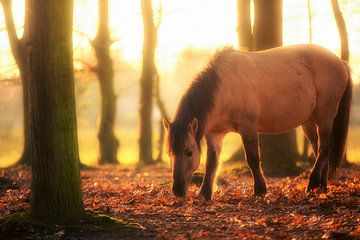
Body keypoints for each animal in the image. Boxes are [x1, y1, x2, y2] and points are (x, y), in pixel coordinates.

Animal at [164, 44, 354, 200]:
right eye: (170, 153)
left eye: (188, 152)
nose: (177, 191)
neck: (225, 87)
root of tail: (339, 61)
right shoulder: (215, 134)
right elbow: (212, 163)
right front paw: (204, 193)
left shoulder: (248, 128)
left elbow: (253, 159)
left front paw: (260, 190)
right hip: (309, 120)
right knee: (319, 148)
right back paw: (322, 187)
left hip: (325, 114)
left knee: (325, 146)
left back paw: (313, 183)